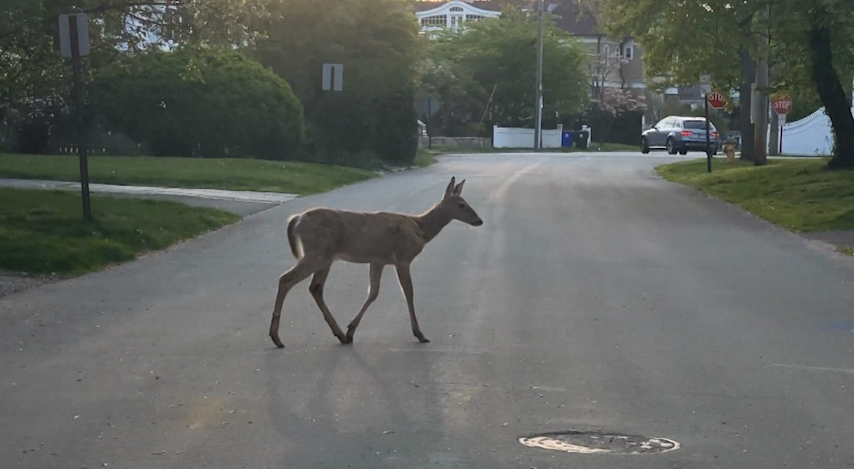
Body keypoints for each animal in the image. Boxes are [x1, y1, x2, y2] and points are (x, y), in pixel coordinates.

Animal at [269, 177, 483, 348]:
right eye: (462, 204)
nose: (479, 220)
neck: (421, 228)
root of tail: (296, 219)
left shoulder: (377, 260)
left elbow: (373, 292)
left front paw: (351, 330)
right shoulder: (403, 258)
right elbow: (409, 292)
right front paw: (420, 334)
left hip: (324, 258)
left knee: (315, 288)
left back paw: (339, 334)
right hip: (317, 254)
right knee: (286, 279)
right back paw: (276, 337)